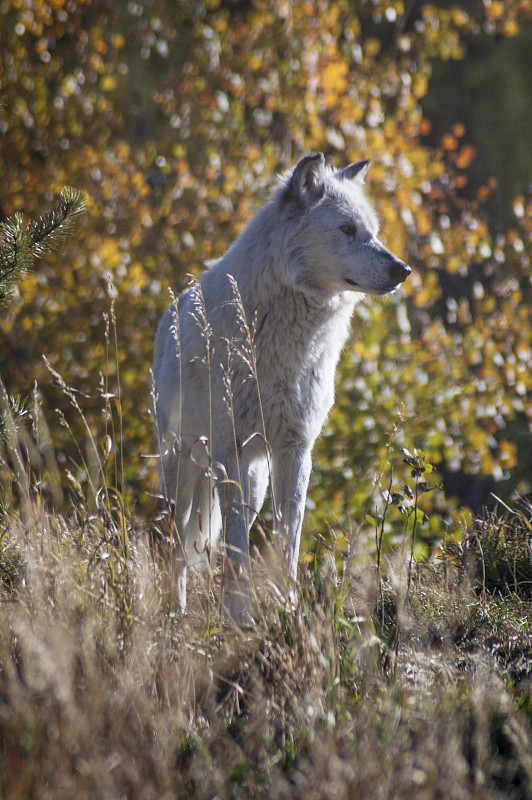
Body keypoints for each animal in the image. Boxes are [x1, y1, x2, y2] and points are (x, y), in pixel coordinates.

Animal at [154, 153, 412, 620]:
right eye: (347, 230)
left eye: (373, 232)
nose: (403, 269)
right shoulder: (231, 451)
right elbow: (236, 548)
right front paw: (238, 615)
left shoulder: (295, 449)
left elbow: (287, 540)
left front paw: (286, 606)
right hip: (182, 467)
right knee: (177, 544)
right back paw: (175, 612)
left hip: (256, 479)